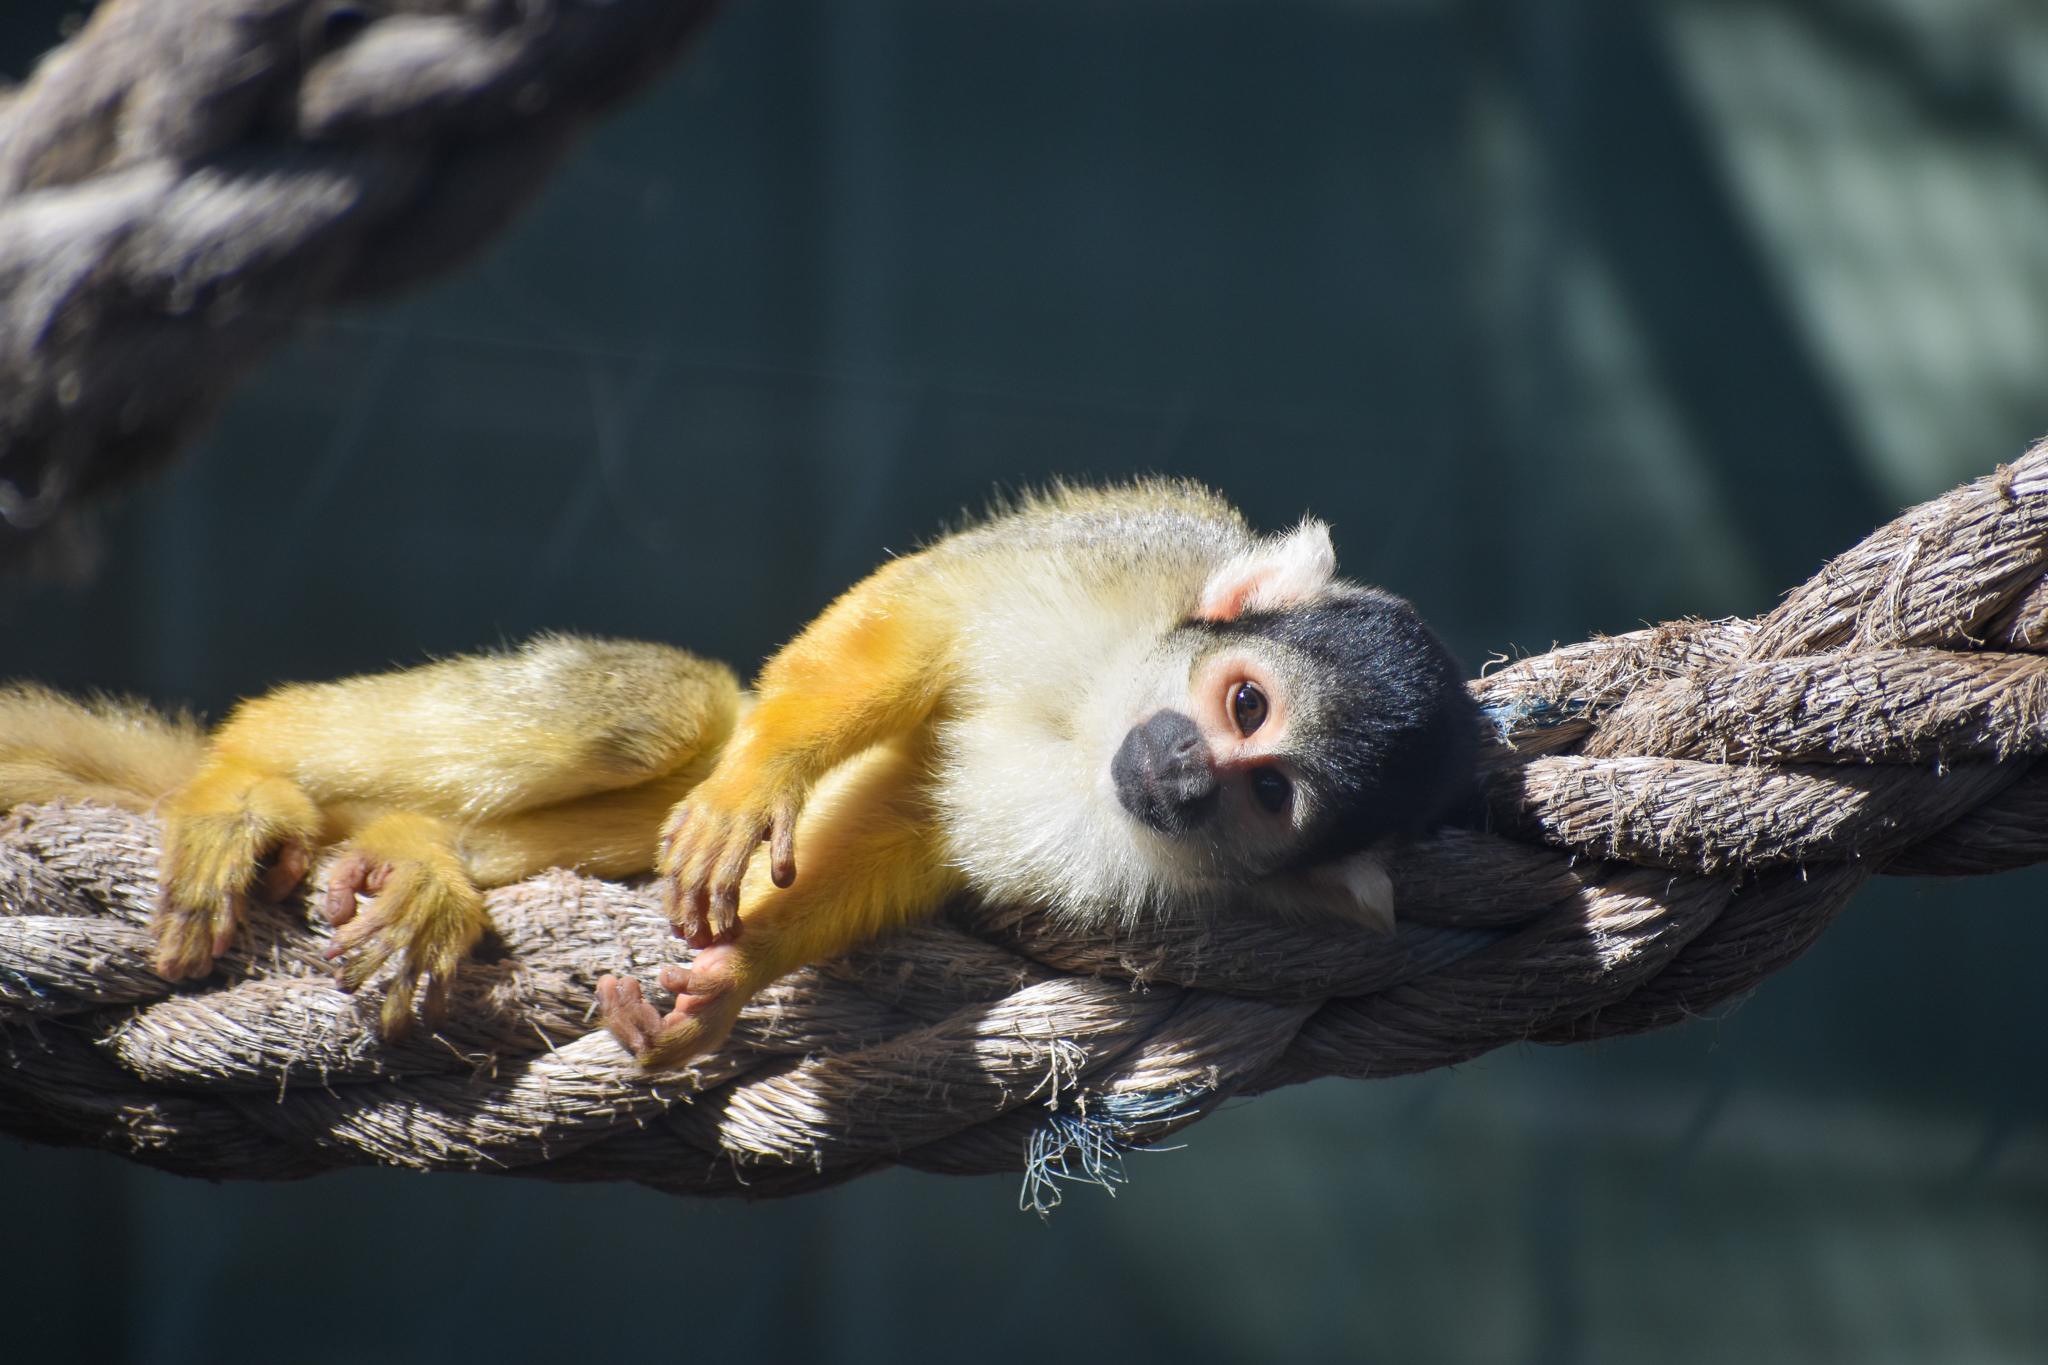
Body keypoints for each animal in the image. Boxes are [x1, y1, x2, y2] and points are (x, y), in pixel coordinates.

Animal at [598, 480, 1478, 1070]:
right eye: (1248, 704)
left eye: (1269, 793)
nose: (1189, 774)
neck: (1098, 726)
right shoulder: (1128, 563)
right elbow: (931, 615)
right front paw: (756, 784)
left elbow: (913, 819)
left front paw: (732, 976)